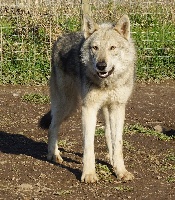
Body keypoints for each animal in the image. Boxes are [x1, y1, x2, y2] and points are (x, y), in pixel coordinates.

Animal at [41, 14, 137, 183]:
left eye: (112, 48)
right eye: (95, 48)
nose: (101, 65)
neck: (107, 83)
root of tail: (60, 38)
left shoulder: (118, 107)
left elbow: (117, 143)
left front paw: (121, 171)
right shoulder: (88, 108)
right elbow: (88, 145)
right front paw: (89, 174)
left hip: (102, 109)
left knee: (108, 134)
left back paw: (111, 159)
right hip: (68, 105)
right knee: (52, 127)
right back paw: (54, 155)